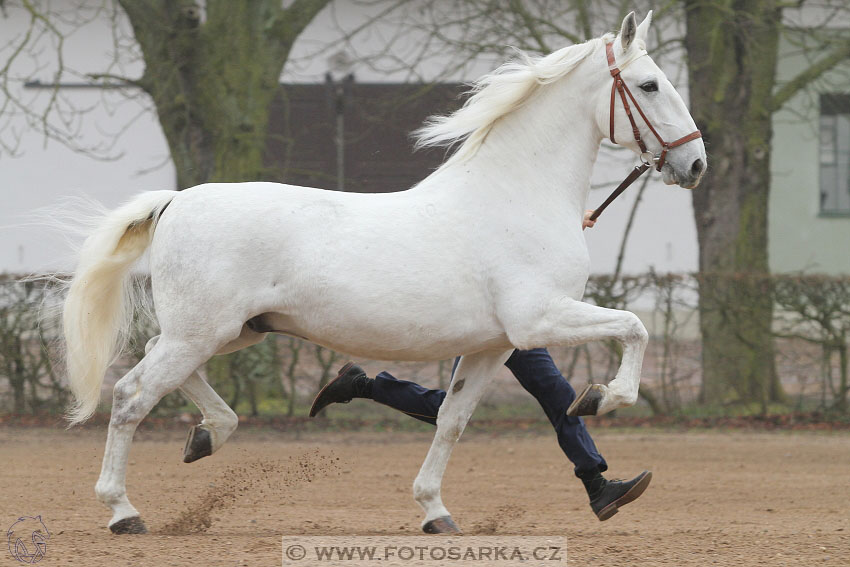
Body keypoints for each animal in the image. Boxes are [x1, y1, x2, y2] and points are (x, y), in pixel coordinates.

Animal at [61, 13, 704, 536]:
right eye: (649, 84)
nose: (694, 163)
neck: (516, 194)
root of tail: (174, 201)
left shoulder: (496, 345)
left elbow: (451, 419)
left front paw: (436, 512)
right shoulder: (538, 321)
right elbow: (634, 327)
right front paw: (599, 399)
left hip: (230, 330)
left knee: (157, 364)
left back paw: (208, 434)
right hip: (203, 331)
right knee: (131, 395)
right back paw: (123, 512)